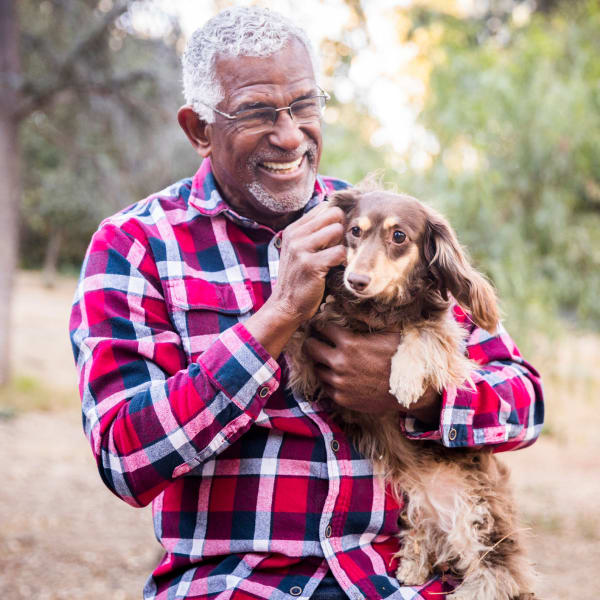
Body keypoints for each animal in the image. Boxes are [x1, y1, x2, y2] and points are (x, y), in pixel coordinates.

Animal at [286, 186, 536, 600]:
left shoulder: (449, 346)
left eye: (399, 236)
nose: (356, 280)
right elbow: (307, 332)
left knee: (496, 571)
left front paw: (403, 378)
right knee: (427, 537)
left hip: (477, 512)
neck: (376, 311)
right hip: (417, 504)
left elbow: (420, 332)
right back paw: (412, 565)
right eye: (354, 230)